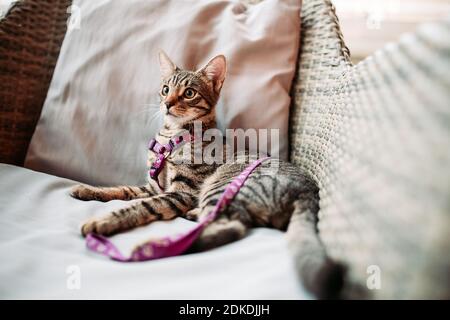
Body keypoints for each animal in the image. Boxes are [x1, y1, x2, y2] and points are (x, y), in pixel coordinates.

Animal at [71, 51, 344, 298]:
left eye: (189, 93)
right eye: (165, 89)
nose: (167, 103)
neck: (171, 139)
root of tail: (308, 191)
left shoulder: (181, 192)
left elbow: (140, 206)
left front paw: (102, 221)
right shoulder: (153, 186)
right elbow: (123, 189)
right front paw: (87, 190)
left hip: (221, 184)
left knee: (234, 226)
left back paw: (154, 248)